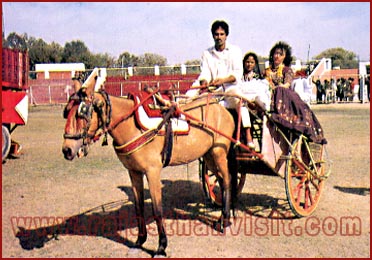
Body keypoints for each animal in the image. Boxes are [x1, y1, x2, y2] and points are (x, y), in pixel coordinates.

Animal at [61, 68, 235, 256]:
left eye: (82, 112)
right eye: (66, 112)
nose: (67, 150)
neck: (132, 125)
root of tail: (223, 109)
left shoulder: (153, 171)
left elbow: (157, 210)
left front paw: (161, 246)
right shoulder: (134, 172)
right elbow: (139, 207)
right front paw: (139, 241)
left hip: (218, 153)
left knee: (227, 180)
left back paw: (225, 221)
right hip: (209, 156)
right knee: (221, 180)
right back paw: (225, 216)